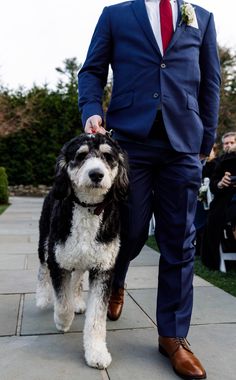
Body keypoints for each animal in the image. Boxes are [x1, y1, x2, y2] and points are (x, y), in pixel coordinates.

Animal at [36, 134, 129, 368]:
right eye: (80, 155)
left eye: (108, 156)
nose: (96, 174)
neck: (88, 208)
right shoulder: (58, 260)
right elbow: (62, 301)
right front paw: (62, 321)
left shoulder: (103, 268)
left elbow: (96, 318)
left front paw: (96, 353)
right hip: (45, 240)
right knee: (42, 268)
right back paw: (42, 297)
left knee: (77, 277)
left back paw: (77, 301)